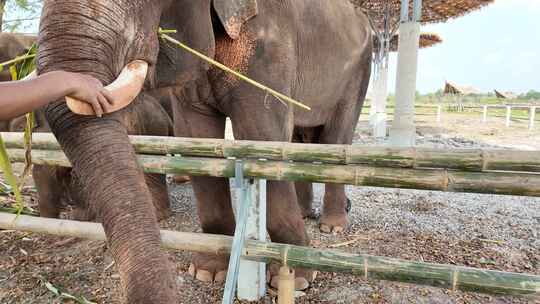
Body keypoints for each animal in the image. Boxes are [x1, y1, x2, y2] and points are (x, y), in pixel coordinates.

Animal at [37, 0, 372, 302]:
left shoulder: (269, 43)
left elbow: (261, 131)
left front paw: (295, 278)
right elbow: (196, 137)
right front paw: (208, 273)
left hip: (359, 71)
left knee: (336, 137)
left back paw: (332, 226)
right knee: (301, 137)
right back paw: (307, 213)